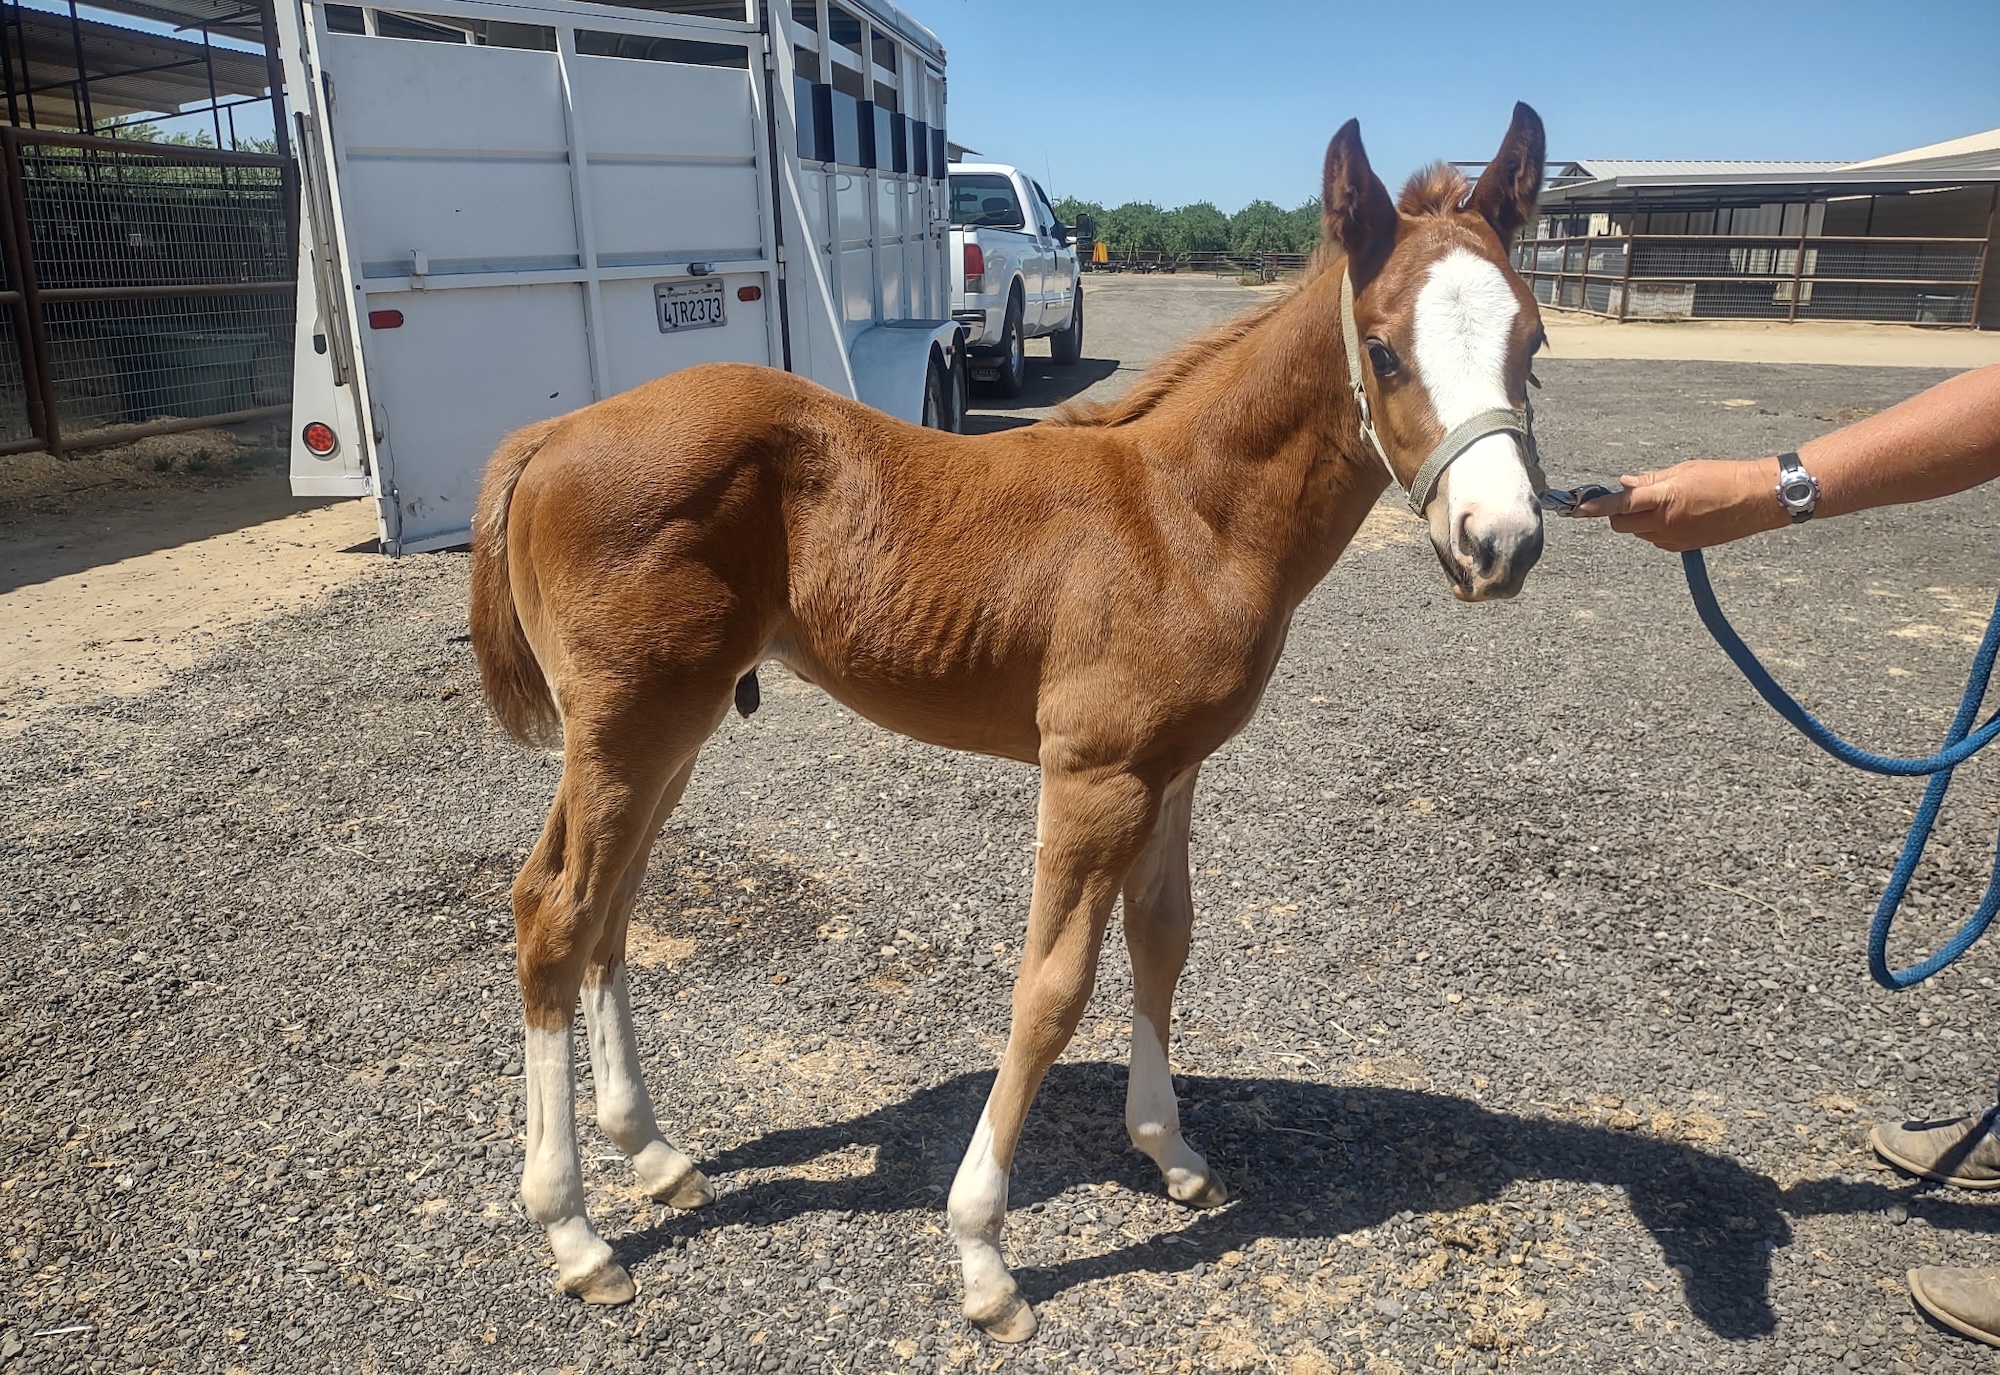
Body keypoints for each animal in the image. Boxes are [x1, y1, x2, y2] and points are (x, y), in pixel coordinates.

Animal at [468, 103, 1551, 1342]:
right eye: (1380, 348)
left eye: (1531, 340)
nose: (1499, 542)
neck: (1184, 517)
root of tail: (546, 439)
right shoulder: (1093, 772)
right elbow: (1050, 987)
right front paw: (983, 1253)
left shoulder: (1172, 766)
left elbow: (1162, 939)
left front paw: (1168, 1151)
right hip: (627, 723)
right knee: (554, 910)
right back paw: (573, 1231)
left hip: (670, 731)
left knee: (610, 908)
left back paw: (652, 1155)